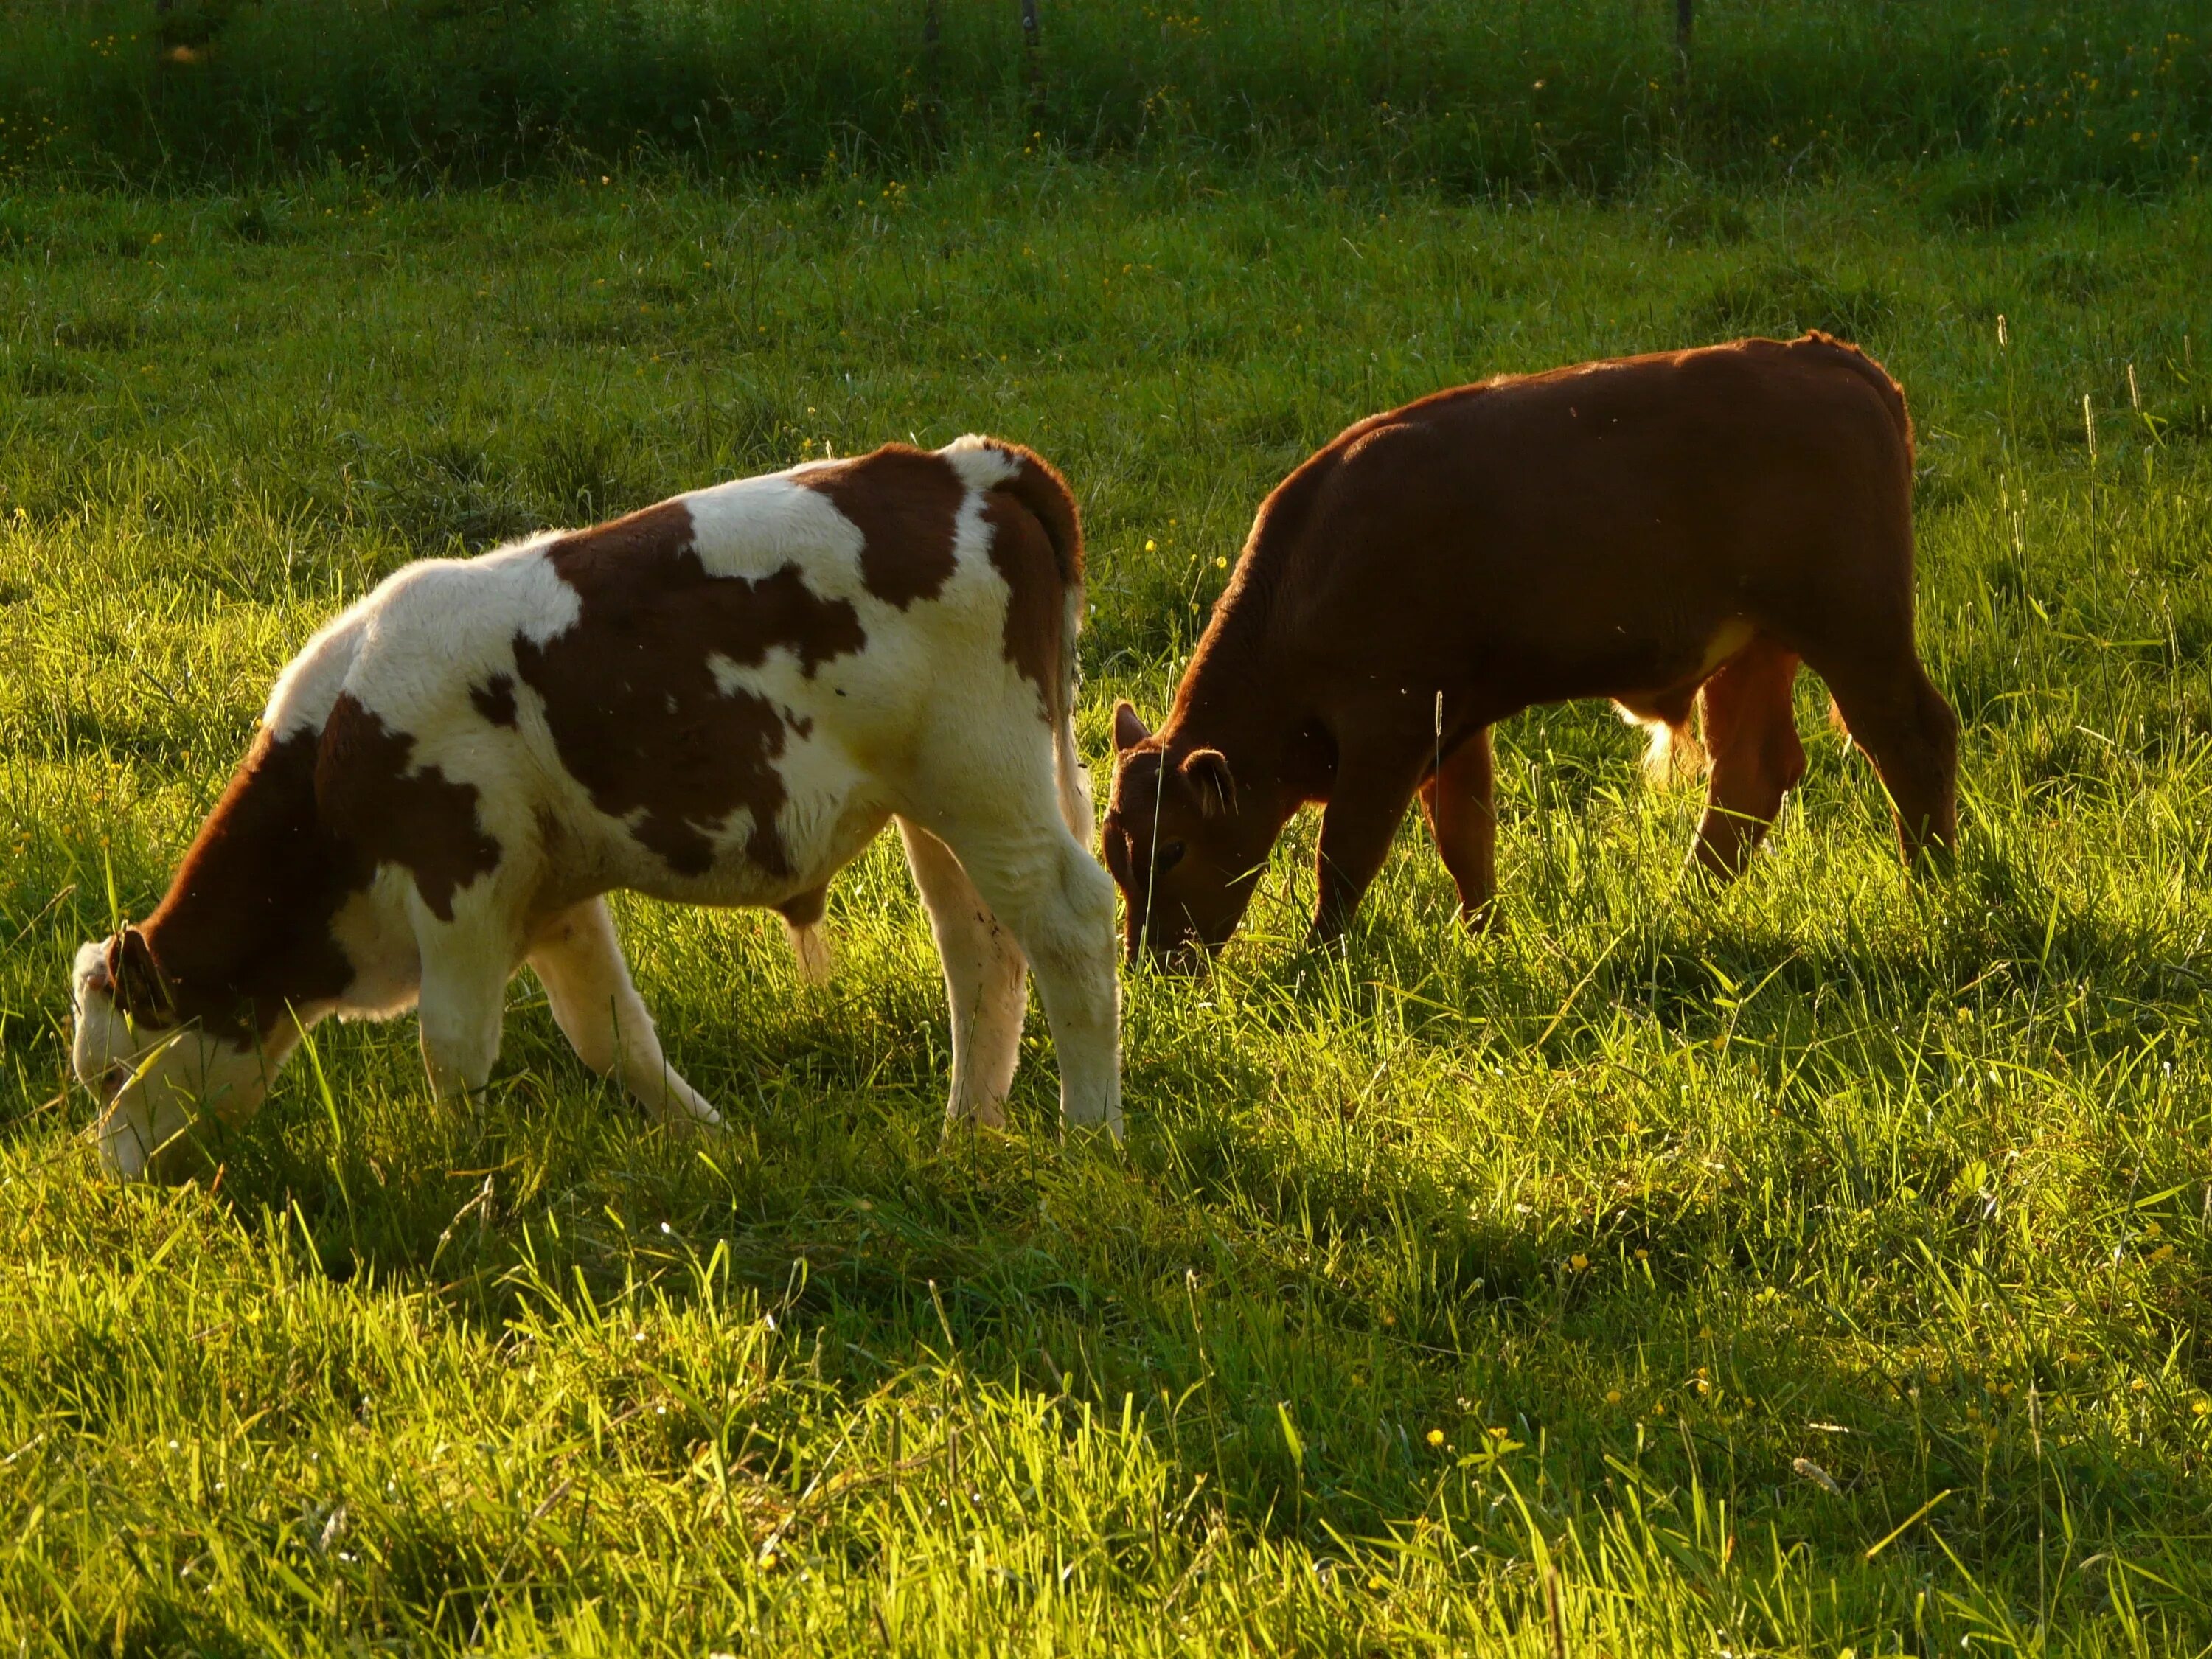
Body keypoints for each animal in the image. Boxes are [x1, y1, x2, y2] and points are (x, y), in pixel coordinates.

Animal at [71, 436, 1124, 1177]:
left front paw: (461, 1176)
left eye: (115, 1072)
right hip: (942, 806)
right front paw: (713, 1144)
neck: (338, 748)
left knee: (1068, 924)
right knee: (981, 950)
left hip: (987, 781)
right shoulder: (552, 900)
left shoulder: (460, 879)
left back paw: (1088, 1135)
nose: (111, 1176)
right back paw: (968, 1133)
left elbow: (454, 1051)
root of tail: (960, 466)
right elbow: (613, 1036)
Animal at [1102, 334, 1955, 969]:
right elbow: (1465, 839)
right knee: (1751, 773)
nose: (1153, 965)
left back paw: (1933, 890)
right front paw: (1484, 936)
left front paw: (1317, 960)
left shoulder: (1388, 726)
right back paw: (1682, 907)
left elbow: (1344, 853)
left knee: (1911, 739)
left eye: (1172, 848)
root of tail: (1826, 358)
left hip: (1854, 630)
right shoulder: (1452, 726)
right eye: (1113, 853)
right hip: (1758, 646)